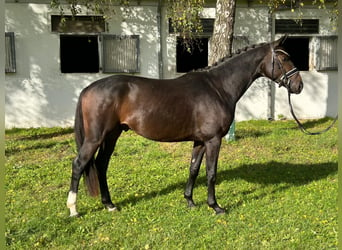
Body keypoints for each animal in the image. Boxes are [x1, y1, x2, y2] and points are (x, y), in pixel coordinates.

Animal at [68, 36, 304, 216]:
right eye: (284, 57)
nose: (299, 85)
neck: (217, 87)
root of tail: (88, 88)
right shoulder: (213, 140)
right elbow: (211, 172)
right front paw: (215, 206)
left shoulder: (199, 140)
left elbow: (193, 169)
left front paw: (190, 201)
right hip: (96, 137)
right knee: (79, 164)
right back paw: (73, 209)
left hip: (112, 135)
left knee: (101, 164)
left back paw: (109, 204)